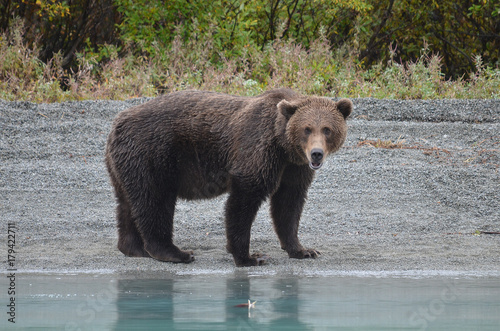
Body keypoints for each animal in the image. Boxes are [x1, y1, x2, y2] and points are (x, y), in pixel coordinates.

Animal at [105, 88, 352, 268]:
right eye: (307, 129)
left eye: (327, 129)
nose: (316, 154)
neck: (283, 145)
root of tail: (117, 122)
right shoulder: (258, 151)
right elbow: (244, 199)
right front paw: (250, 257)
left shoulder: (294, 168)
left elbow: (288, 204)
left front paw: (303, 250)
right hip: (153, 155)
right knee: (155, 200)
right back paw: (175, 252)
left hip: (124, 165)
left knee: (127, 203)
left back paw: (134, 248)